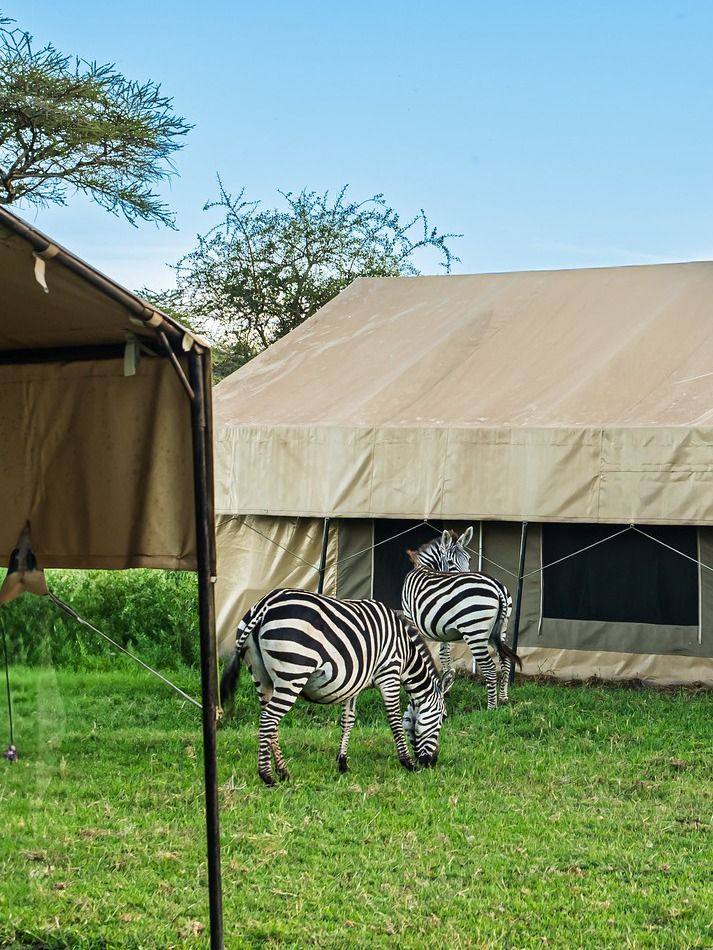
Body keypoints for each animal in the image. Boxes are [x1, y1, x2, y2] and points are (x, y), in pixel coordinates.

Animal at [220, 588, 446, 786]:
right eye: (443, 718)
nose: (432, 763)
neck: (406, 653)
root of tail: (265, 604)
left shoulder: (355, 682)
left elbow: (348, 721)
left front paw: (343, 763)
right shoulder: (389, 672)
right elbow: (395, 720)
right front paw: (407, 763)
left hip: (261, 676)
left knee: (268, 719)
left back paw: (283, 771)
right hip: (292, 674)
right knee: (269, 719)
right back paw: (267, 776)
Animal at [402, 528, 521, 709]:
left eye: (469, 559)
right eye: (450, 561)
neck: (424, 567)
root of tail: (497, 587)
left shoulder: (411, 621)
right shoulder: (442, 631)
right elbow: (444, 655)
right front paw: (445, 689)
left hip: (474, 632)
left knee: (490, 668)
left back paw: (491, 708)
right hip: (500, 630)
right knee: (506, 661)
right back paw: (504, 698)